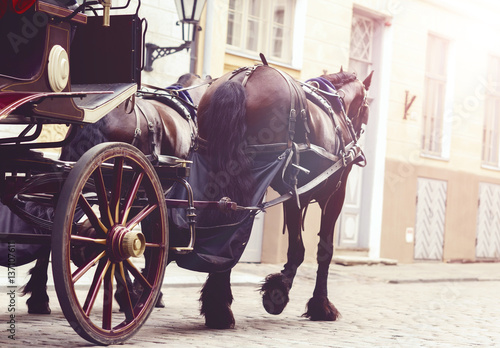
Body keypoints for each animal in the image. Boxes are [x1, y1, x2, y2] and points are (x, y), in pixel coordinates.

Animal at [20, 73, 209, 316]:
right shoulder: (149, 193)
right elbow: (152, 240)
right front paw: (144, 291)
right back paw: (127, 295)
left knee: (50, 224)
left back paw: (39, 297)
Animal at [194, 64, 372, 328]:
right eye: (367, 107)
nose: (359, 154)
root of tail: (244, 78)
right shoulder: (325, 194)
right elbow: (319, 250)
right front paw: (295, 297)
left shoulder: (295, 193)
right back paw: (220, 308)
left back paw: (217, 306)